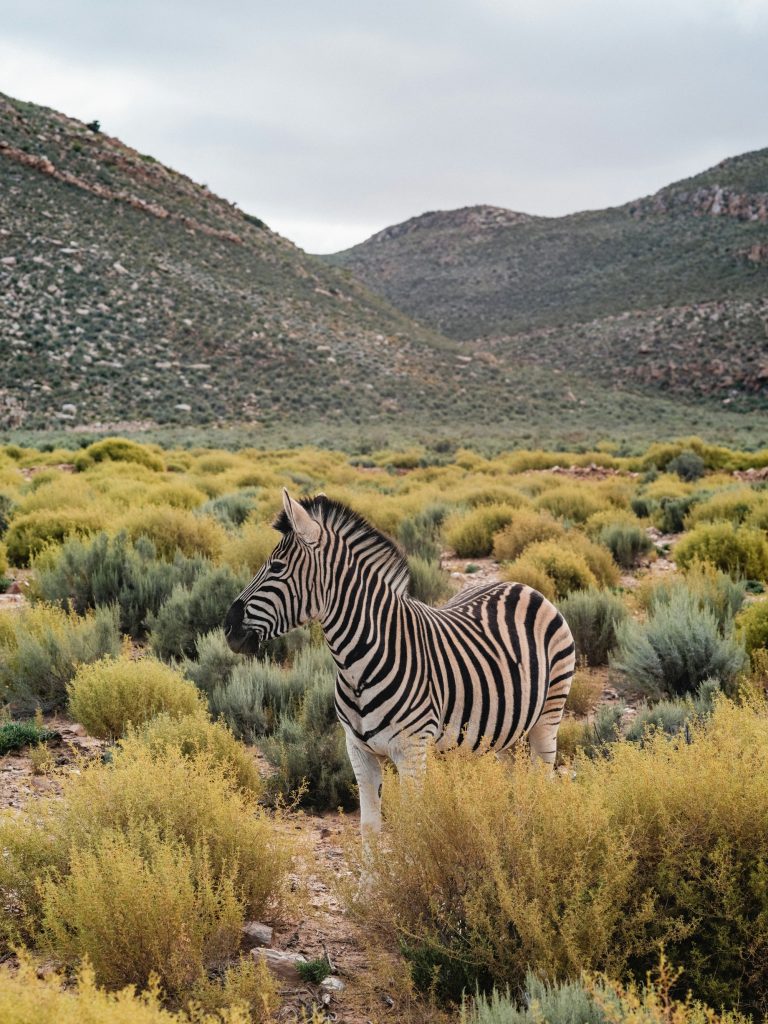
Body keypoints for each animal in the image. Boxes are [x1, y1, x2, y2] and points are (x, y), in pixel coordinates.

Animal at [224, 489, 576, 837]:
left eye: (277, 567)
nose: (228, 628)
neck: (356, 668)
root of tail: (520, 585)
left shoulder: (412, 751)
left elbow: (412, 828)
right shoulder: (359, 751)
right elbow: (369, 827)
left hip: (548, 715)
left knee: (543, 780)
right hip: (504, 729)